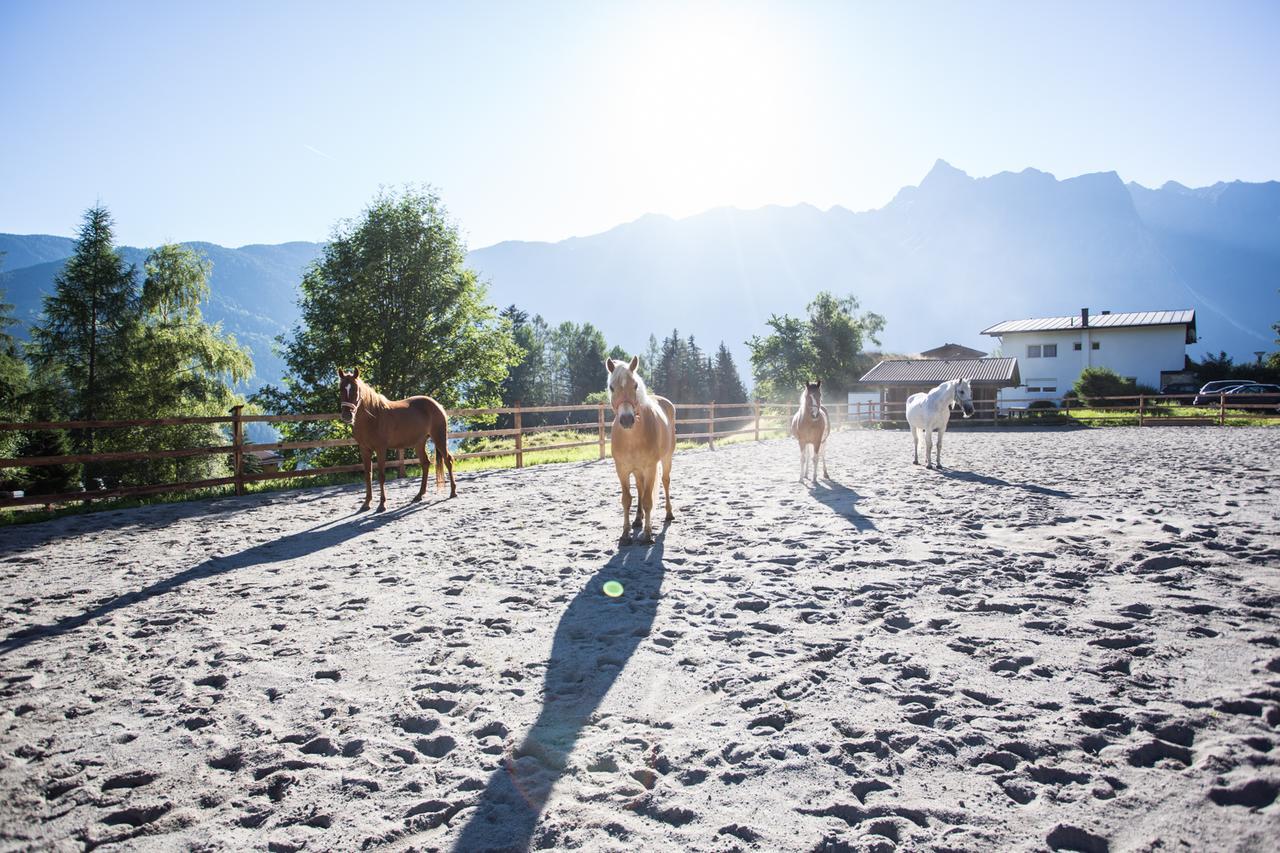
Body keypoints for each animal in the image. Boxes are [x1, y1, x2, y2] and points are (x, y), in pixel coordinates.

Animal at [337, 363, 458, 507]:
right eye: (341, 389)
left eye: (356, 389)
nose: (347, 415)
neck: (373, 417)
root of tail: (437, 405)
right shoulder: (364, 449)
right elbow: (368, 475)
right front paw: (366, 503)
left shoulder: (381, 449)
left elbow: (381, 475)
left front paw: (382, 504)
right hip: (419, 442)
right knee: (425, 463)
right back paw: (419, 495)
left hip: (439, 438)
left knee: (448, 460)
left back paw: (453, 492)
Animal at [604, 353, 675, 545]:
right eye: (612, 387)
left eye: (635, 385)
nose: (627, 419)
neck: (632, 438)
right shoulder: (621, 469)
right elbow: (627, 499)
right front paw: (625, 533)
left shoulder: (650, 468)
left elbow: (648, 500)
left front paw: (648, 534)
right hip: (637, 470)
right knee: (639, 488)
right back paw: (637, 519)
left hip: (666, 458)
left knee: (665, 481)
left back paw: (668, 514)